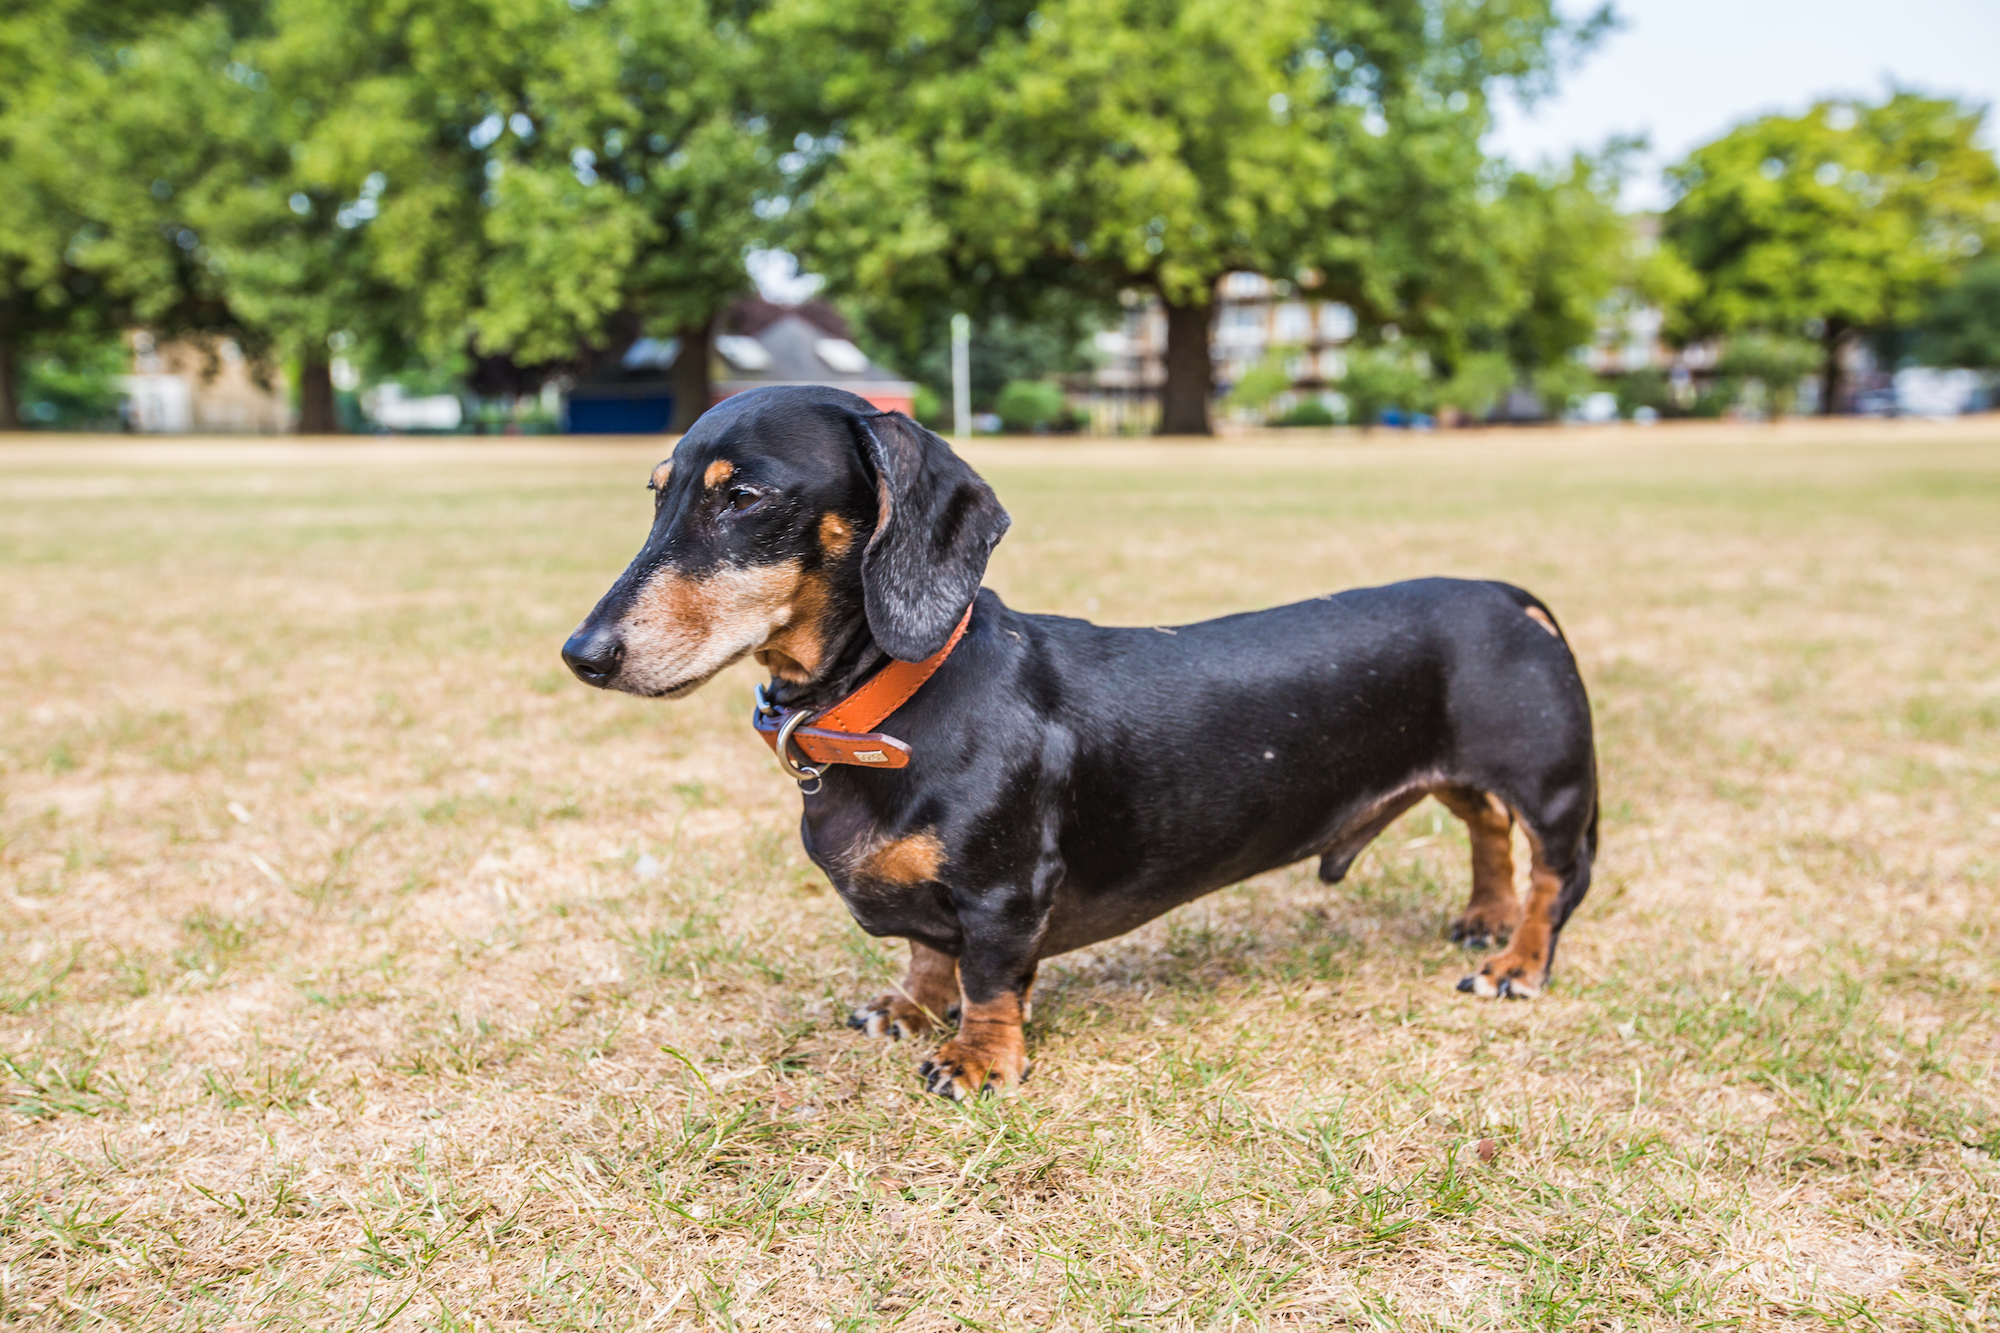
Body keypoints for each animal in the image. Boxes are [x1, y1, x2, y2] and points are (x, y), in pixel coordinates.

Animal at [564, 382, 1592, 1088]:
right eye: (660, 494)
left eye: (742, 498)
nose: (583, 653)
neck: (892, 704)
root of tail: (1510, 594)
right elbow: (926, 951)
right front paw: (910, 1007)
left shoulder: (1004, 891)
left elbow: (987, 978)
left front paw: (977, 1059)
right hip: (1462, 771)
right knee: (1485, 826)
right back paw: (1484, 916)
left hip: (1550, 785)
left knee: (1552, 872)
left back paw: (1515, 960)